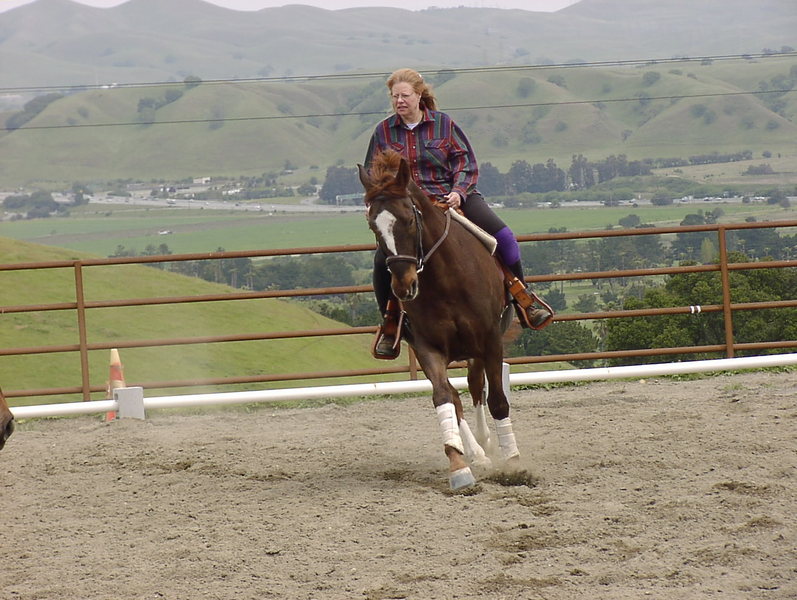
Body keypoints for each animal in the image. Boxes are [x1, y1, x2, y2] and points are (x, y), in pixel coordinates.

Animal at [359, 150, 521, 490]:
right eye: (374, 228)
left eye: (409, 218)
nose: (404, 286)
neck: (447, 282)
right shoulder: (427, 347)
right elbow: (444, 398)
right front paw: (459, 467)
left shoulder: (490, 340)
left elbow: (497, 400)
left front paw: (513, 463)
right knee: (459, 396)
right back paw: (478, 453)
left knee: (476, 387)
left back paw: (487, 443)